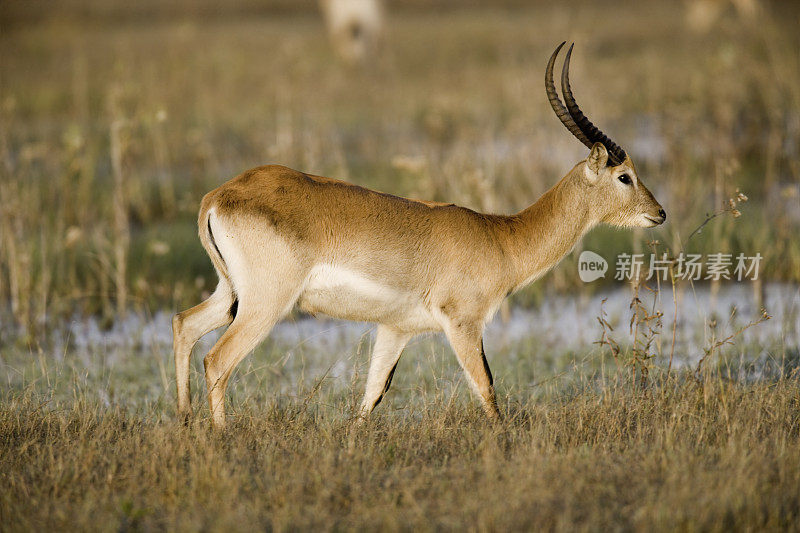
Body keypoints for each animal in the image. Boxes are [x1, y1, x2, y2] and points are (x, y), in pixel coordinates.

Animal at [175, 43, 668, 430]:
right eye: (625, 176)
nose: (659, 213)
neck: (501, 238)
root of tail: (220, 194)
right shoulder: (463, 323)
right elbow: (486, 388)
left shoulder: (396, 328)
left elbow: (372, 396)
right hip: (266, 304)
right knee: (217, 359)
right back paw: (221, 437)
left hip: (231, 295)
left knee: (184, 325)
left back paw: (185, 424)